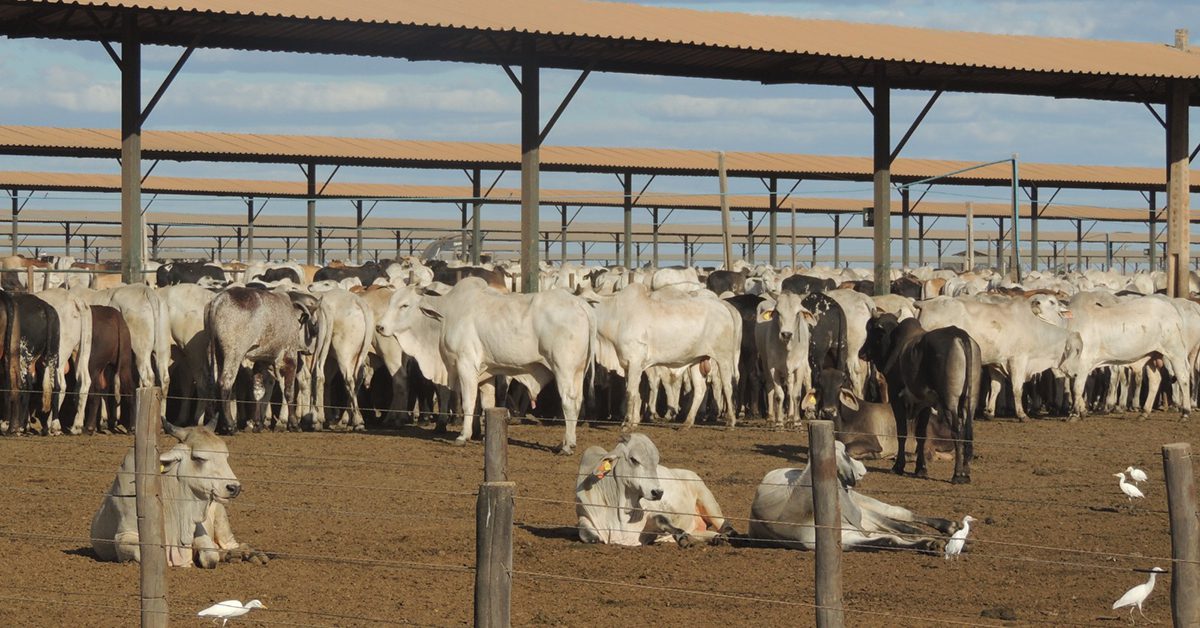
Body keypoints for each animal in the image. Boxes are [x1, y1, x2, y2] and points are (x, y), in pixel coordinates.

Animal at [89, 417, 267, 569]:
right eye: (199, 458)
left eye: (226, 456)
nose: (234, 487)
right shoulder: (124, 535)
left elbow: (211, 556)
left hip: (221, 518)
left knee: (232, 544)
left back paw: (249, 554)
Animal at [576, 434, 734, 547]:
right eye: (634, 459)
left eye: (656, 462)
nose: (658, 492)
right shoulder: (584, 513)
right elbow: (586, 534)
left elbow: (661, 519)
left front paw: (682, 536)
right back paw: (716, 538)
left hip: (708, 501)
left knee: (725, 525)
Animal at [868, 314, 979, 487]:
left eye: (871, 331)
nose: (862, 352)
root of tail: (961, 335)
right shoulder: (925, 403)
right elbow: (921, 434)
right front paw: (921, 469)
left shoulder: (896, 396)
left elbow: (902, 432)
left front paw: (898, 466)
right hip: (970, 401)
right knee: (968, 433)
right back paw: (966, 473)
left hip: (949, 402)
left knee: (957, 431)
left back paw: (958, 474)